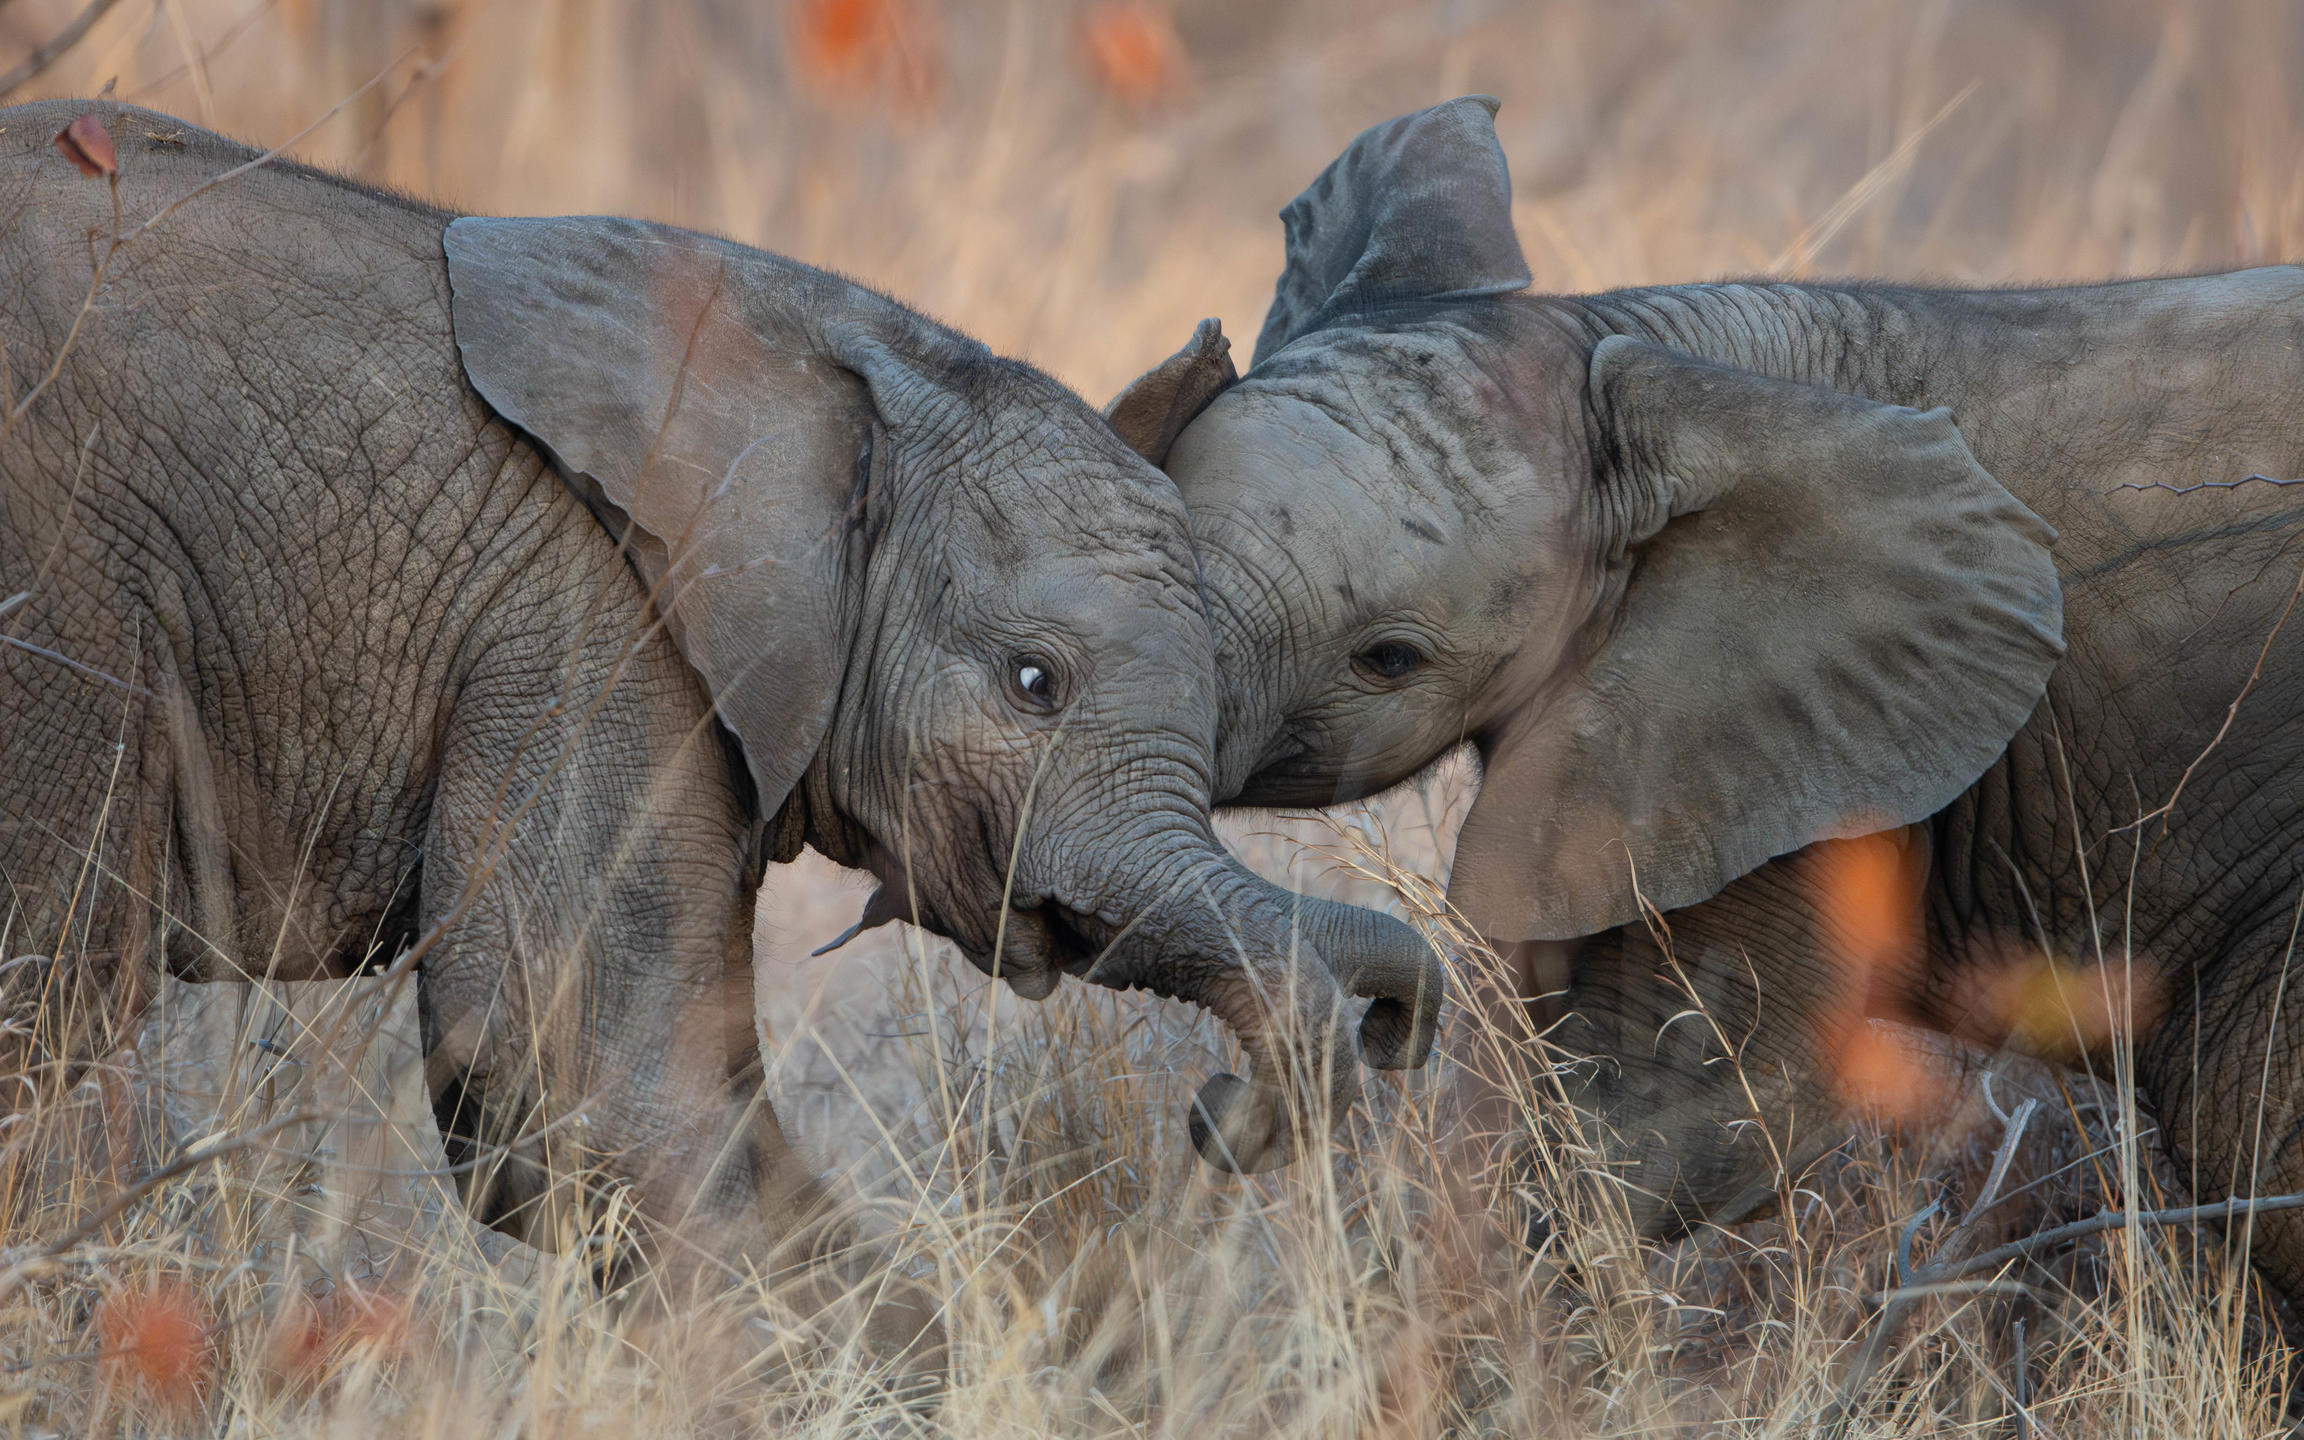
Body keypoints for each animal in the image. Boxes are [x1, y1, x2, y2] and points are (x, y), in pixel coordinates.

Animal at [0, 96, 1445, 1307]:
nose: (1220, 1116)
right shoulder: (591, 622)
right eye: (1035, 683)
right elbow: (590, 1095)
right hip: (63, 598)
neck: (839, 356)